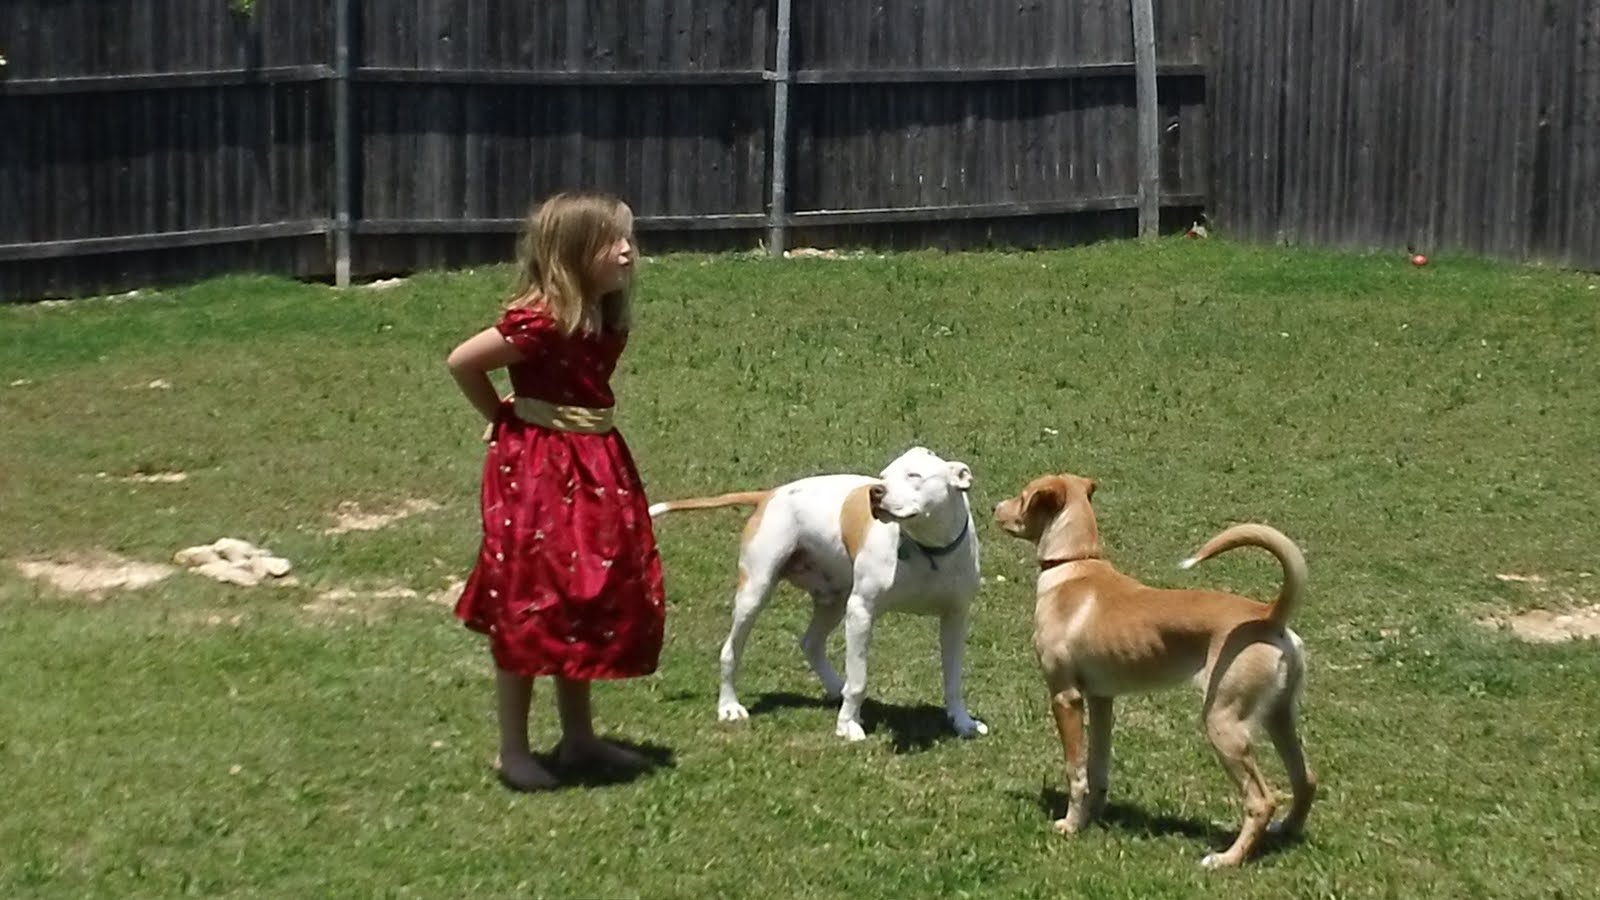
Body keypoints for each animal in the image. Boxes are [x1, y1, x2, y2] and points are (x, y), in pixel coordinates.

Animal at [649, 447, 987, 742]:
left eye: (914, 475)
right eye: (883, 476)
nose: (875, 492)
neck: (927, 549)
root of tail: (770, 494)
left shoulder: (955, 617)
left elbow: (953, 678)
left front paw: (963, 722)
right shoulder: (861, 611)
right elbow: (859, 679)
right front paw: (848, 725)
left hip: (834, 599)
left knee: (810, 642)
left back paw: (836, 687)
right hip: (756, 591)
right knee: (731, 650)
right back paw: (729, 706)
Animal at [993, 473, 1316, 868]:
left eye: (1023, 496)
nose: (993, 507)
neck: (1074, 565)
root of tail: (1268, 616)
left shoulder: (1065, 697)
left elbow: (1075, 772)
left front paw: (1070, 825)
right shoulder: (1101, 698)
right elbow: (1098, 768)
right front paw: (1091, 817)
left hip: (1224, 722)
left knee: (1261, 800)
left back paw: (1227, 859)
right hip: (1278, 716)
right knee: (1306, 779)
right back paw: (1287, 831)